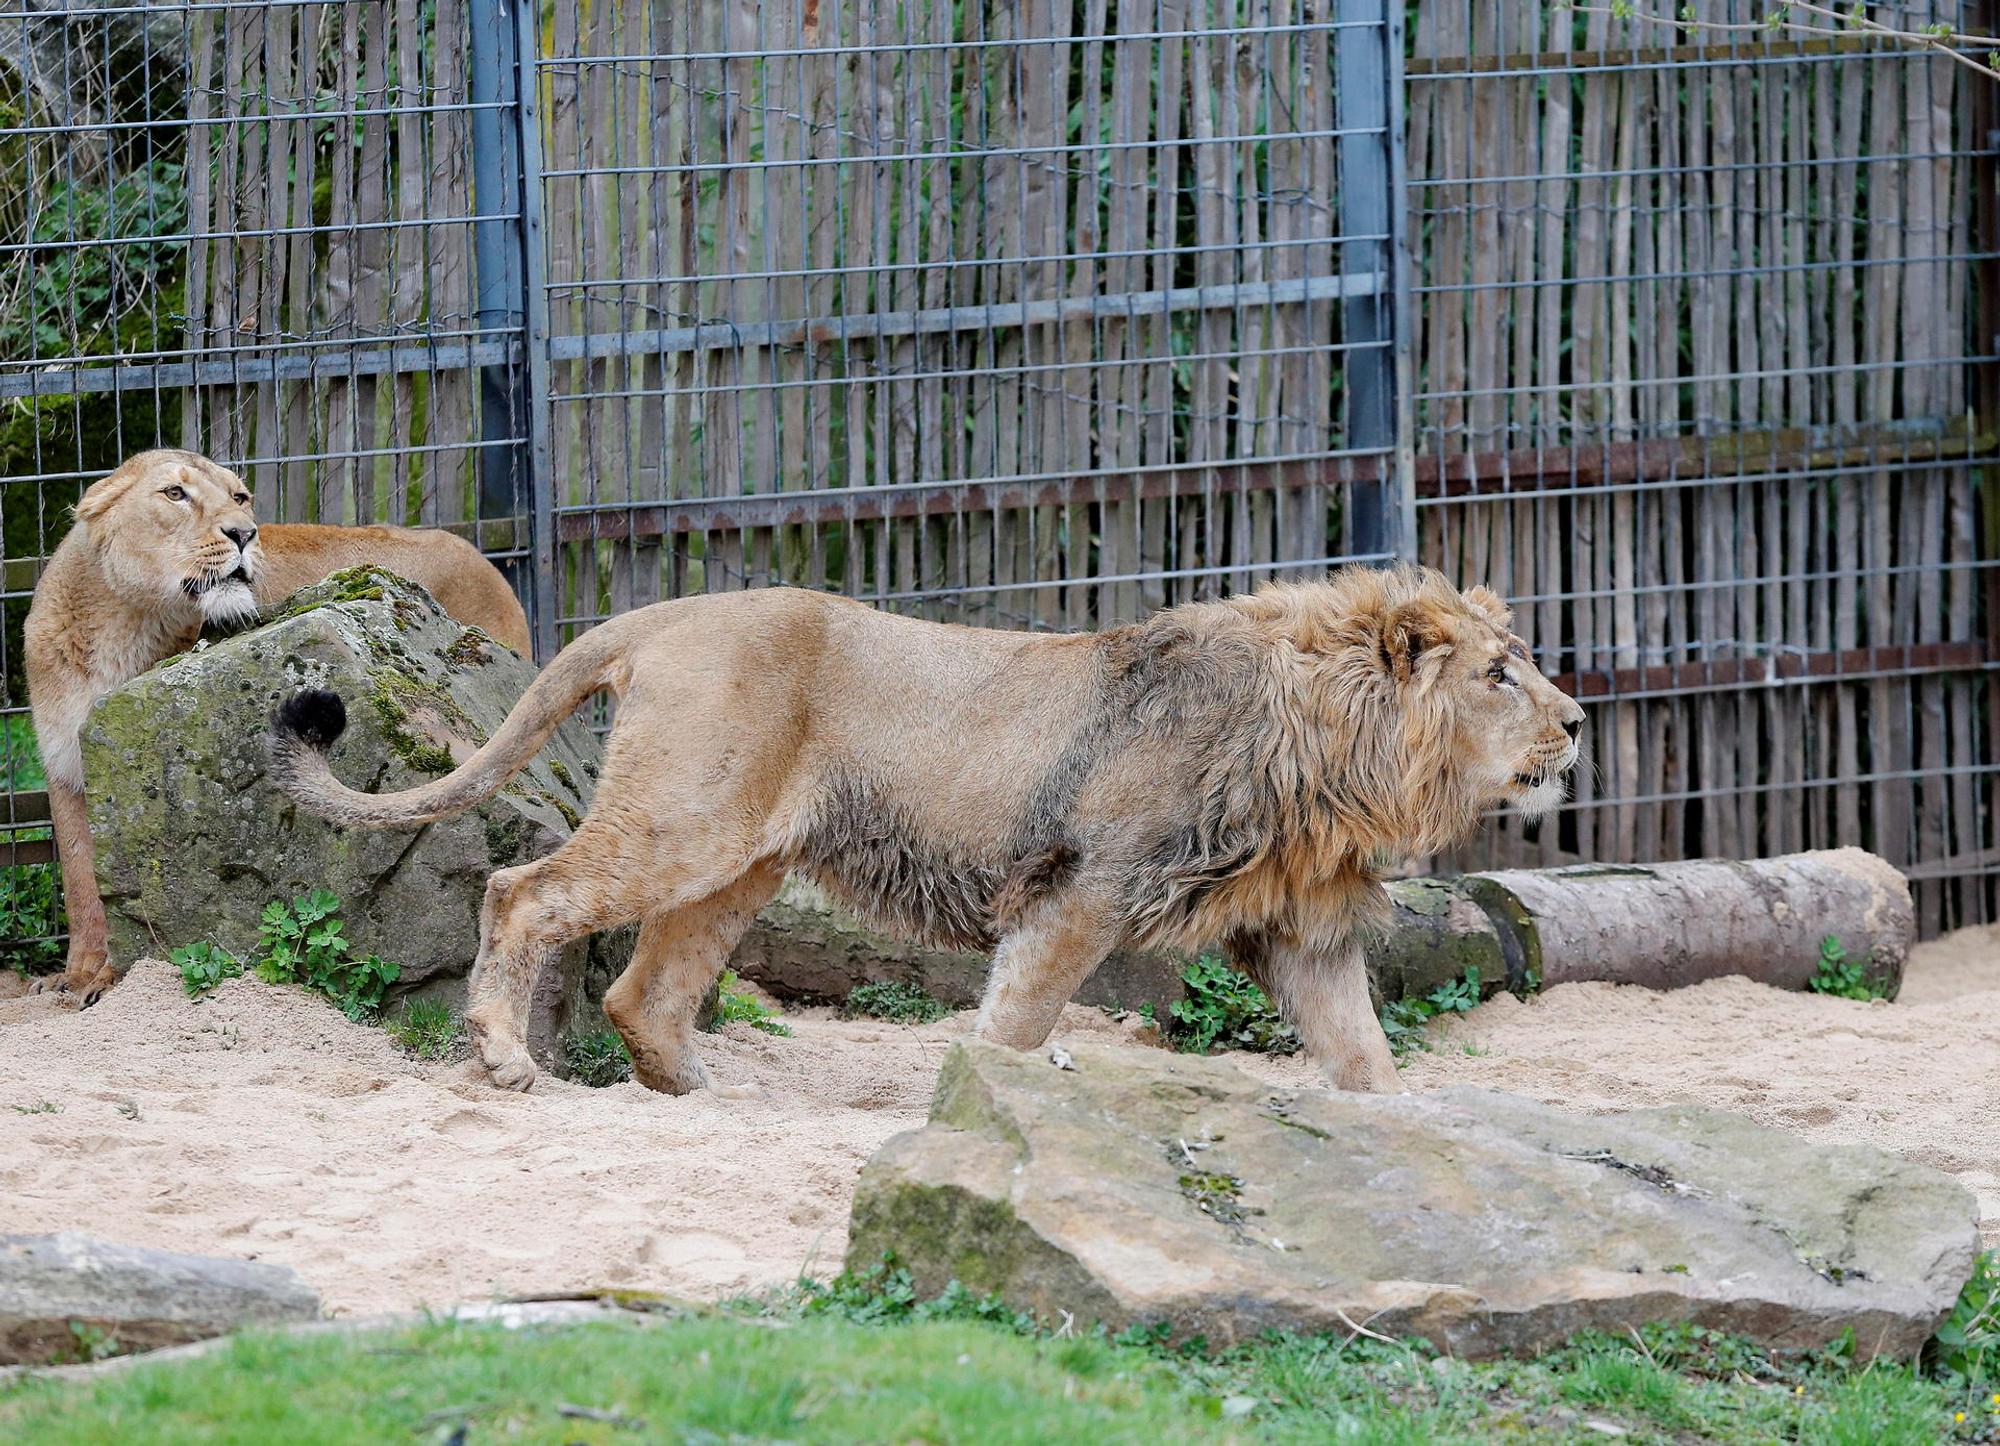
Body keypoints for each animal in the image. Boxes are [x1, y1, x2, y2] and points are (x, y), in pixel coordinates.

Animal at [24, 448, 532, 1003]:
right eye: (175, 493)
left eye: (239, 497)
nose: (244, 533)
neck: (123, 624)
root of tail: (485, 560)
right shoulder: (65, 767)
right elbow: (80, 883)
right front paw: (79, 976)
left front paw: (106, 978)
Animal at [268, 564, 1583, 1096]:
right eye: (1499, 673)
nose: (1576, 722)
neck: (1332, 750)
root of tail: (656, 615)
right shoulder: (1081, 887)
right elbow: (1014, 1023)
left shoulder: (1301, 931)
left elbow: (1365, 1062)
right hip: (681, 826)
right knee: (521, 892)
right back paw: (500, 1055)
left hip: (740, 863)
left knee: (643, 990)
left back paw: (701, 1095)